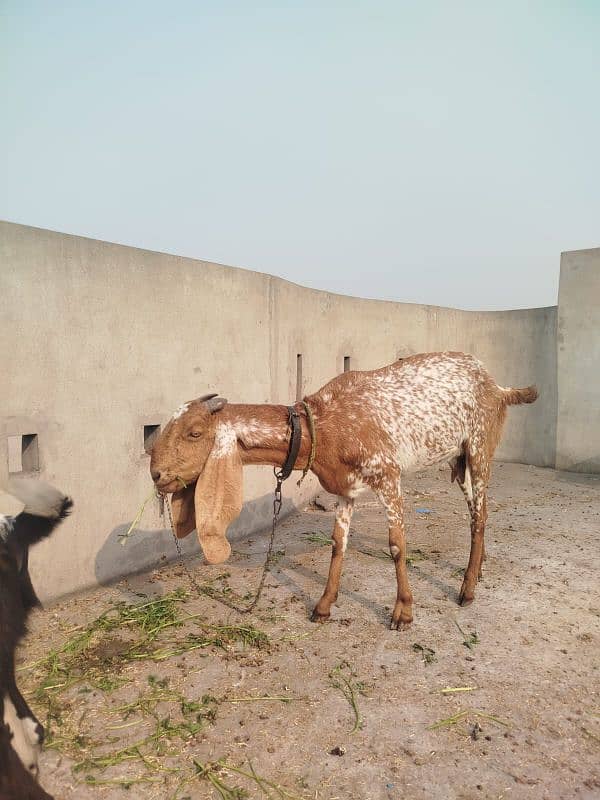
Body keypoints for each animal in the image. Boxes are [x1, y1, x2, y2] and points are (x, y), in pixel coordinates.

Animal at [151, 354, 540, 628]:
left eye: (195, 432)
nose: (156, 474)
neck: (321, 426)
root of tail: (498, 387)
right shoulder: (346, 490)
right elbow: (338, 545)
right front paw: (324, 606)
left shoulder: (389, 476)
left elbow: (397, 546)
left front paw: (403, 612)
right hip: (459, 460)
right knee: (477, 511)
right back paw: (479, 569)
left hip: (479, 446)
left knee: (481, 513)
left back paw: (467, 589)